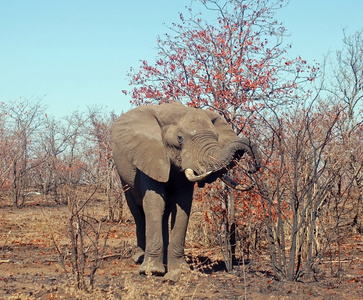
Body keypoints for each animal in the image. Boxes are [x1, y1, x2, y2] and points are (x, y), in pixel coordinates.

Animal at [111, 102, 262, 280]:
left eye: (217, 137)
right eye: (180, 138)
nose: (252, 168)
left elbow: (182, 205)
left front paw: (179, 271)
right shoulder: (150, 156)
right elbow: (154, 203)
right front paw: (152, 272)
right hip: (123, 175)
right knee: (137, 210)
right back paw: (140, 259)